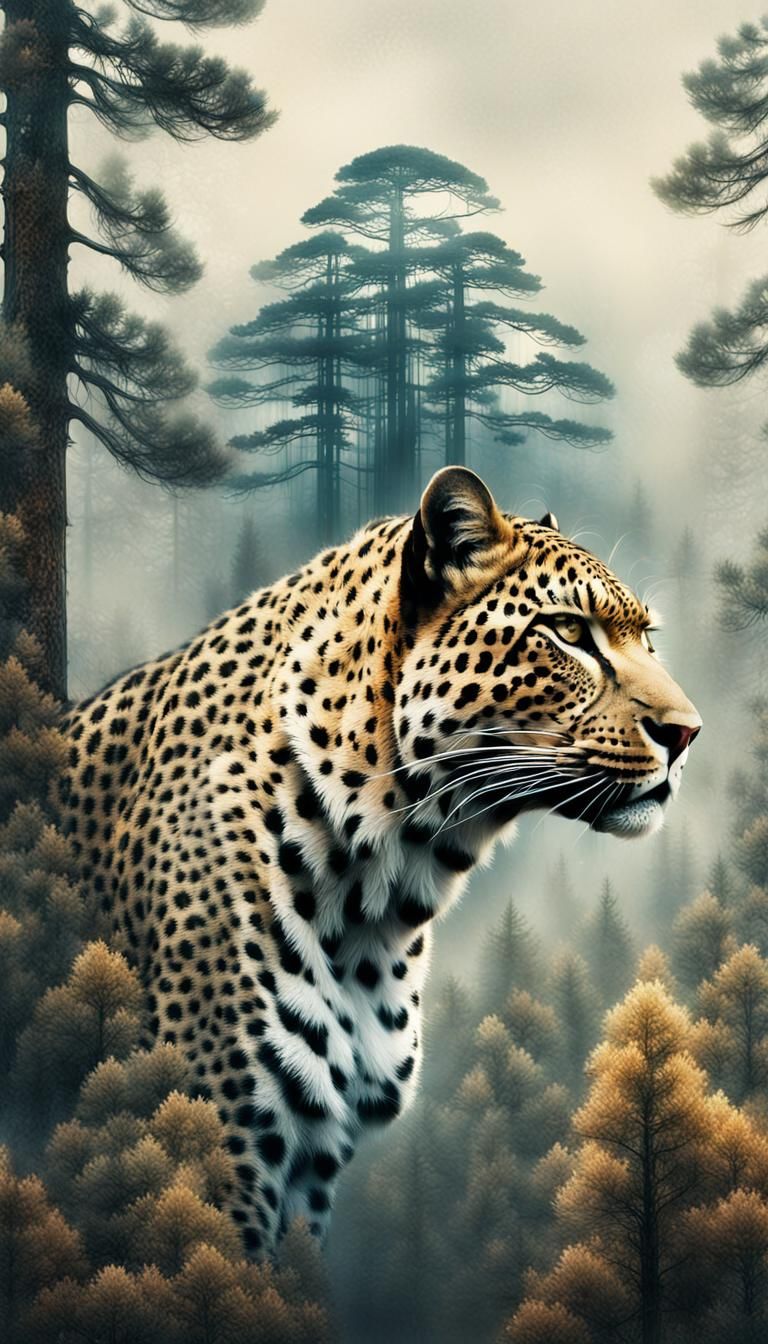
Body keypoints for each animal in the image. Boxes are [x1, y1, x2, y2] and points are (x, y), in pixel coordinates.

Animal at [58, 466, 701, 1257]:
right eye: (570, 633)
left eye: (647, 637)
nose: (687, 732)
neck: (382, 884)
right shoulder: (222, 1150)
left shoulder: (314, 1159)